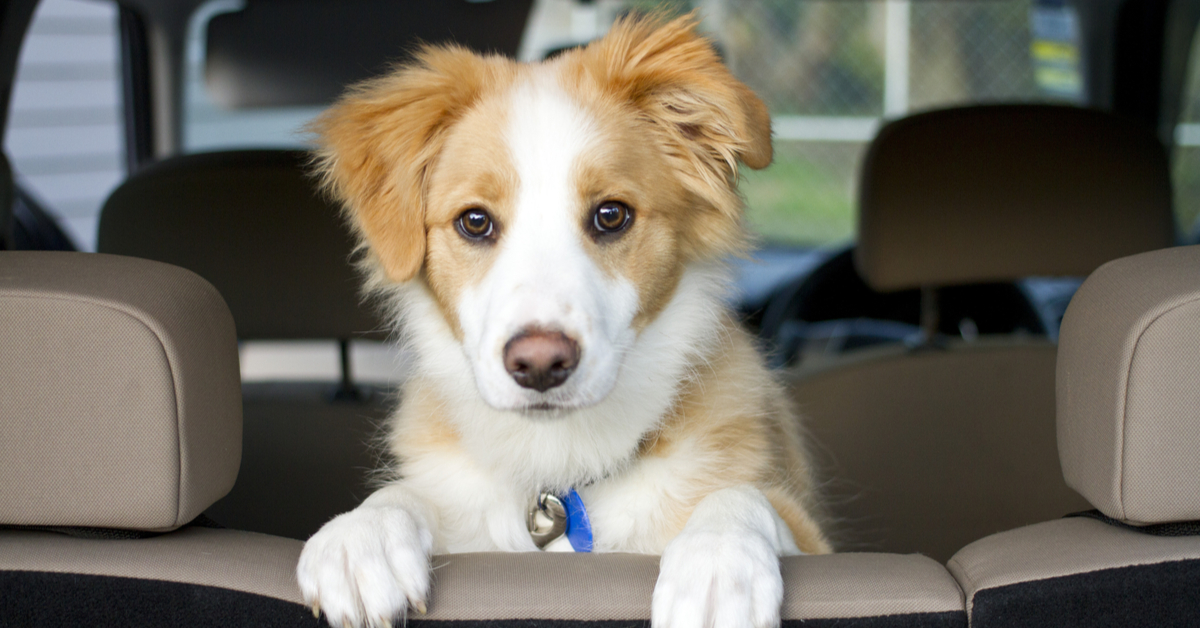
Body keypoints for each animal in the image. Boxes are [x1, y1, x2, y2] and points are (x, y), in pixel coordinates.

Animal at [295, 14, 830, 628]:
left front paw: (719, 563)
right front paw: (360, 536)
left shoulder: (810, 534)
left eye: (611, 215)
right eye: (474, 221)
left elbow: (743, 497)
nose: (539, 364)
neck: (558, 472)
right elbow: (408, 494)